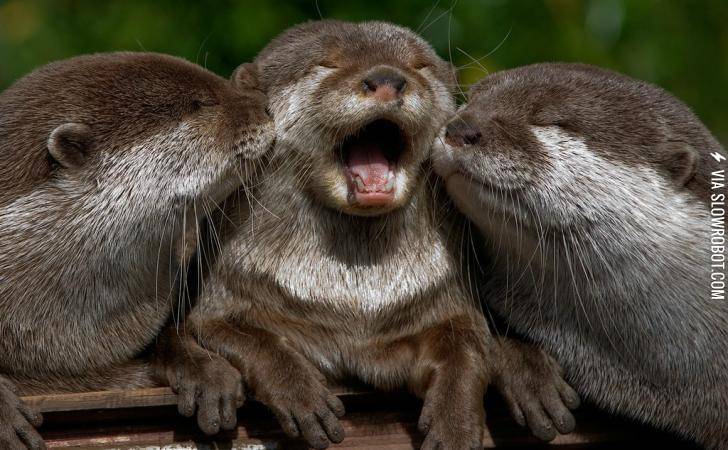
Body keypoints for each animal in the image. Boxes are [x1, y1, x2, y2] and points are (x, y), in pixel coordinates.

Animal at [162, 21, 579, 449]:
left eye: (418, 65)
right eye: (326, 64)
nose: (387, 79)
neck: (354, 305)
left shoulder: (443, 300)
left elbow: (466, 345)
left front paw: (456, 424)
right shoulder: (225, 292)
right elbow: (247, 337)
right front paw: (300, 394)